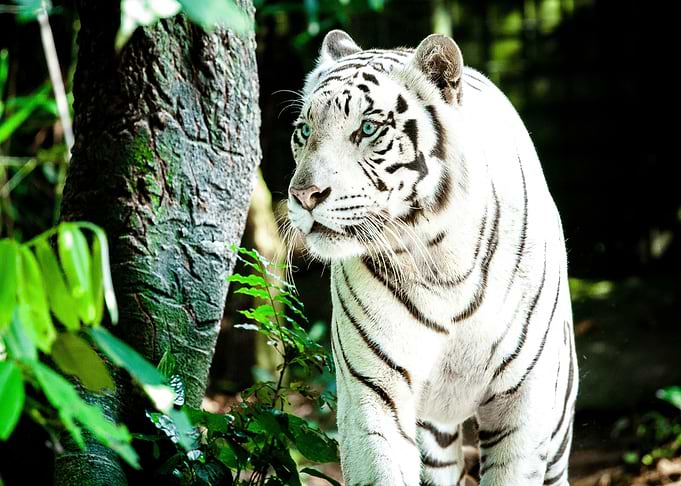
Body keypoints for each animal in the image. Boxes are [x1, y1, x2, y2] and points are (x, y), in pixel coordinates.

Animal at [286, 30, 578, 486]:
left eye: (367, 128)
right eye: (304, 130)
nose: (303, 195)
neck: (440, 258)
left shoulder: (522, 398)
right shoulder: (373, 388)